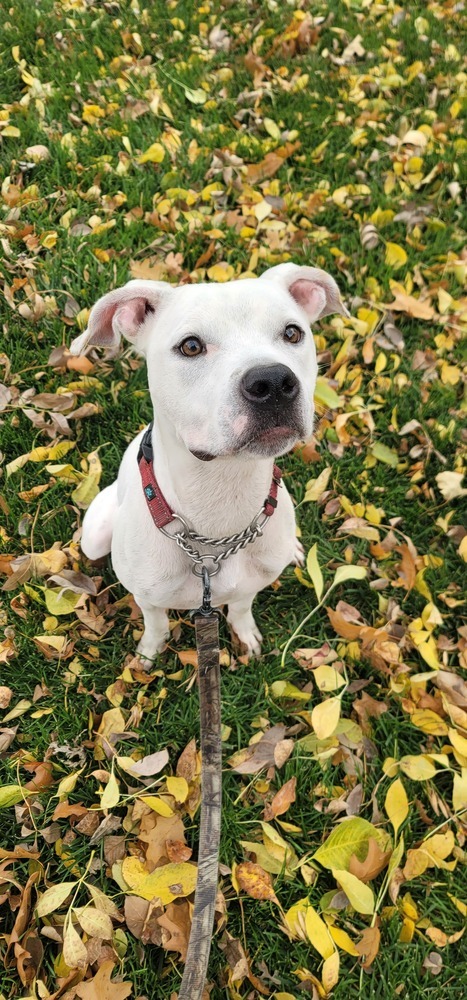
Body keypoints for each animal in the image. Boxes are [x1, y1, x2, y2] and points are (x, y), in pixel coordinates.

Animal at [69, 262, 348, 660]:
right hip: (94, 535)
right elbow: (156, 622)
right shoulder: (147, 598)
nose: (273, 382)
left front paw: (244, 633)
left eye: (293, 333)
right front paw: (149, 652)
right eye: (190, 346)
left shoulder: (249, 585)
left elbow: (242, 607)